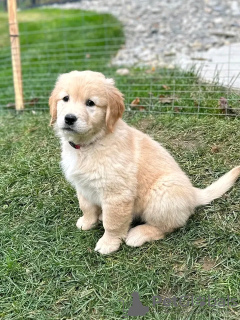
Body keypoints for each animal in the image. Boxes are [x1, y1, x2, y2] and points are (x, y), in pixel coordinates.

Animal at [49, 70, 240, 255]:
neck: (90, 144)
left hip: (162, 194)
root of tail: (193, 194)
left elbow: (113, 223)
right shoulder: (82, 186)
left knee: (168, 227)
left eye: (90, 103)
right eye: (65, 98)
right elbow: (86, 206)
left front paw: (109, 243)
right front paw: (87, 222)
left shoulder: (117, 194)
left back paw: (139, 234)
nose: (69, 118)